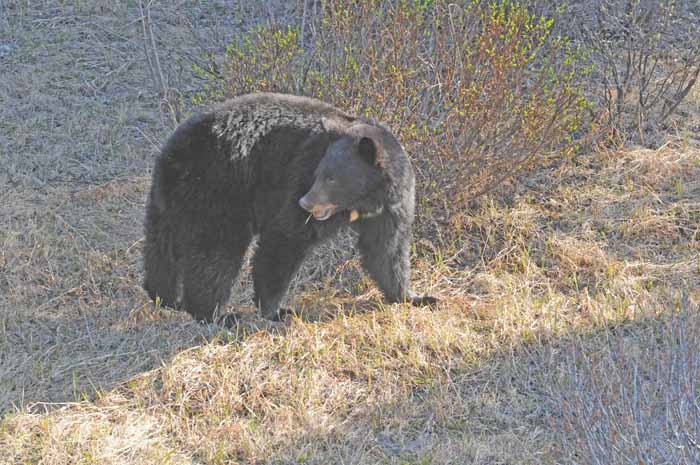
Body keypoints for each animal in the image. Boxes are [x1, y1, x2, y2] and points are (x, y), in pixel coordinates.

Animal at [144, 92, 432, 320]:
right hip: (218, 189)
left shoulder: (392, 207)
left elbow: (386, 249)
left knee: (162, 248)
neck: (364, 201)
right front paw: (276, 311)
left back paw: (163, 296)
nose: (306, 202)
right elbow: (285, 238)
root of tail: (172, 155)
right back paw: (215, 314)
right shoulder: (297, 177)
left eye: (332, 178)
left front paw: (414, 297)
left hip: (171, 203)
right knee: (217, 253)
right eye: (318, 173)